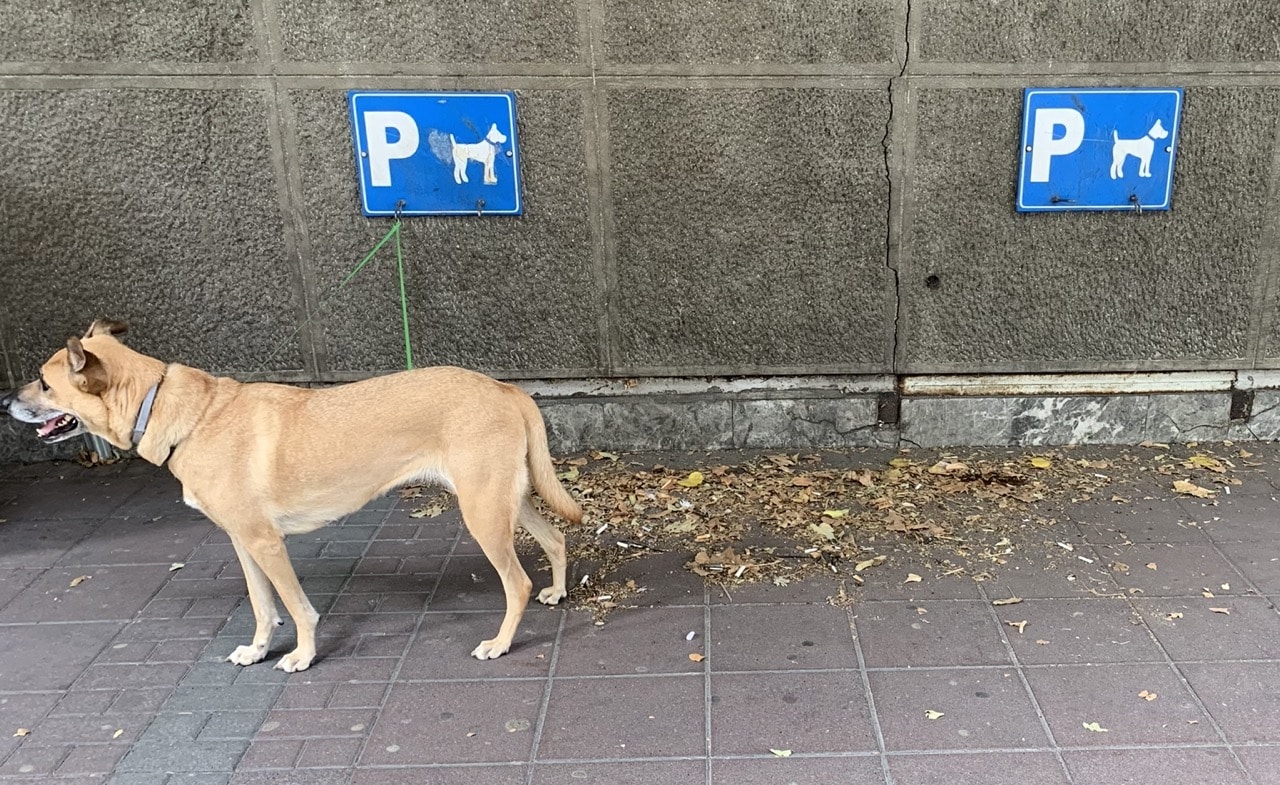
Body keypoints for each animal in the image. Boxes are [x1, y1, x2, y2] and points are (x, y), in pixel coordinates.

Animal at [2, 321, 583, 671]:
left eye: (44, 383)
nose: (6, 399)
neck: (176, 410)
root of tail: (503, 387)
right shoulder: (243, 544)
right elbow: (263, 608)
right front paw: (258, 649)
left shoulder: (266, 544)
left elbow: (298, 609)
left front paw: (302, 655)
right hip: (508, 500)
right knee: (555, 541)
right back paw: (556, 591)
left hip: (483, 514)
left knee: (516, 583)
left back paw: (501, 642)